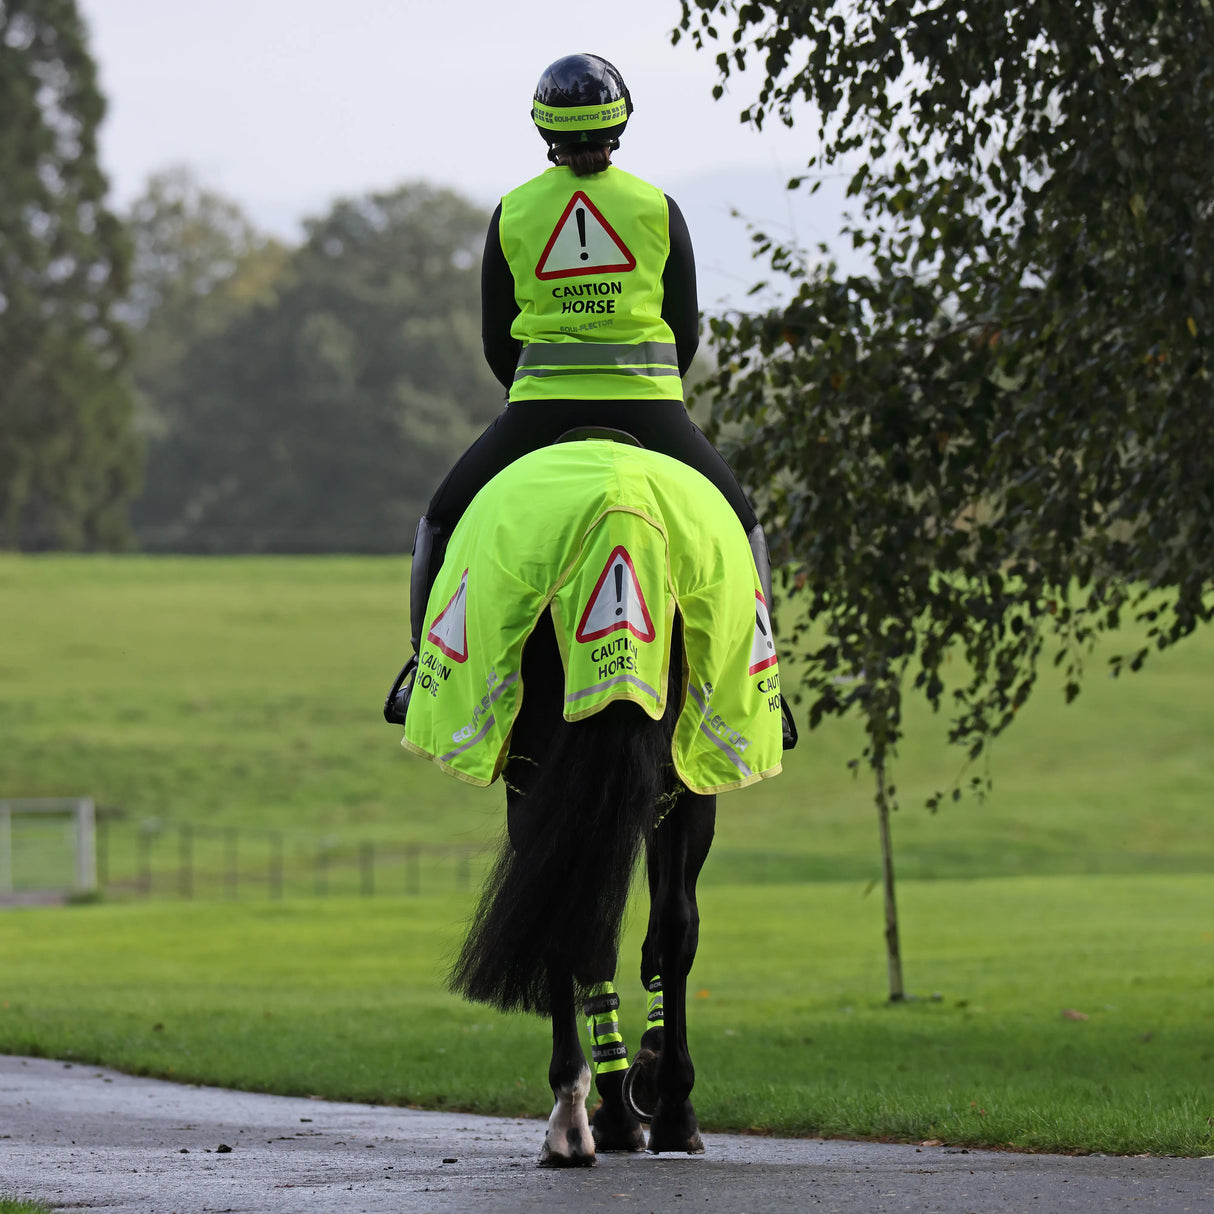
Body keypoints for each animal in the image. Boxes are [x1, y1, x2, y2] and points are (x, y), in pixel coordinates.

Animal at [388, 437, 786, 1165]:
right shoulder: (683, 787)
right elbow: (661, 931)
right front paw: (648, 1088)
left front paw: (625, 1095)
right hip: (681, 767)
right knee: (651, 922)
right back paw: (650, 1106)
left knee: (581, 919)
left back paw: (581, 1117)